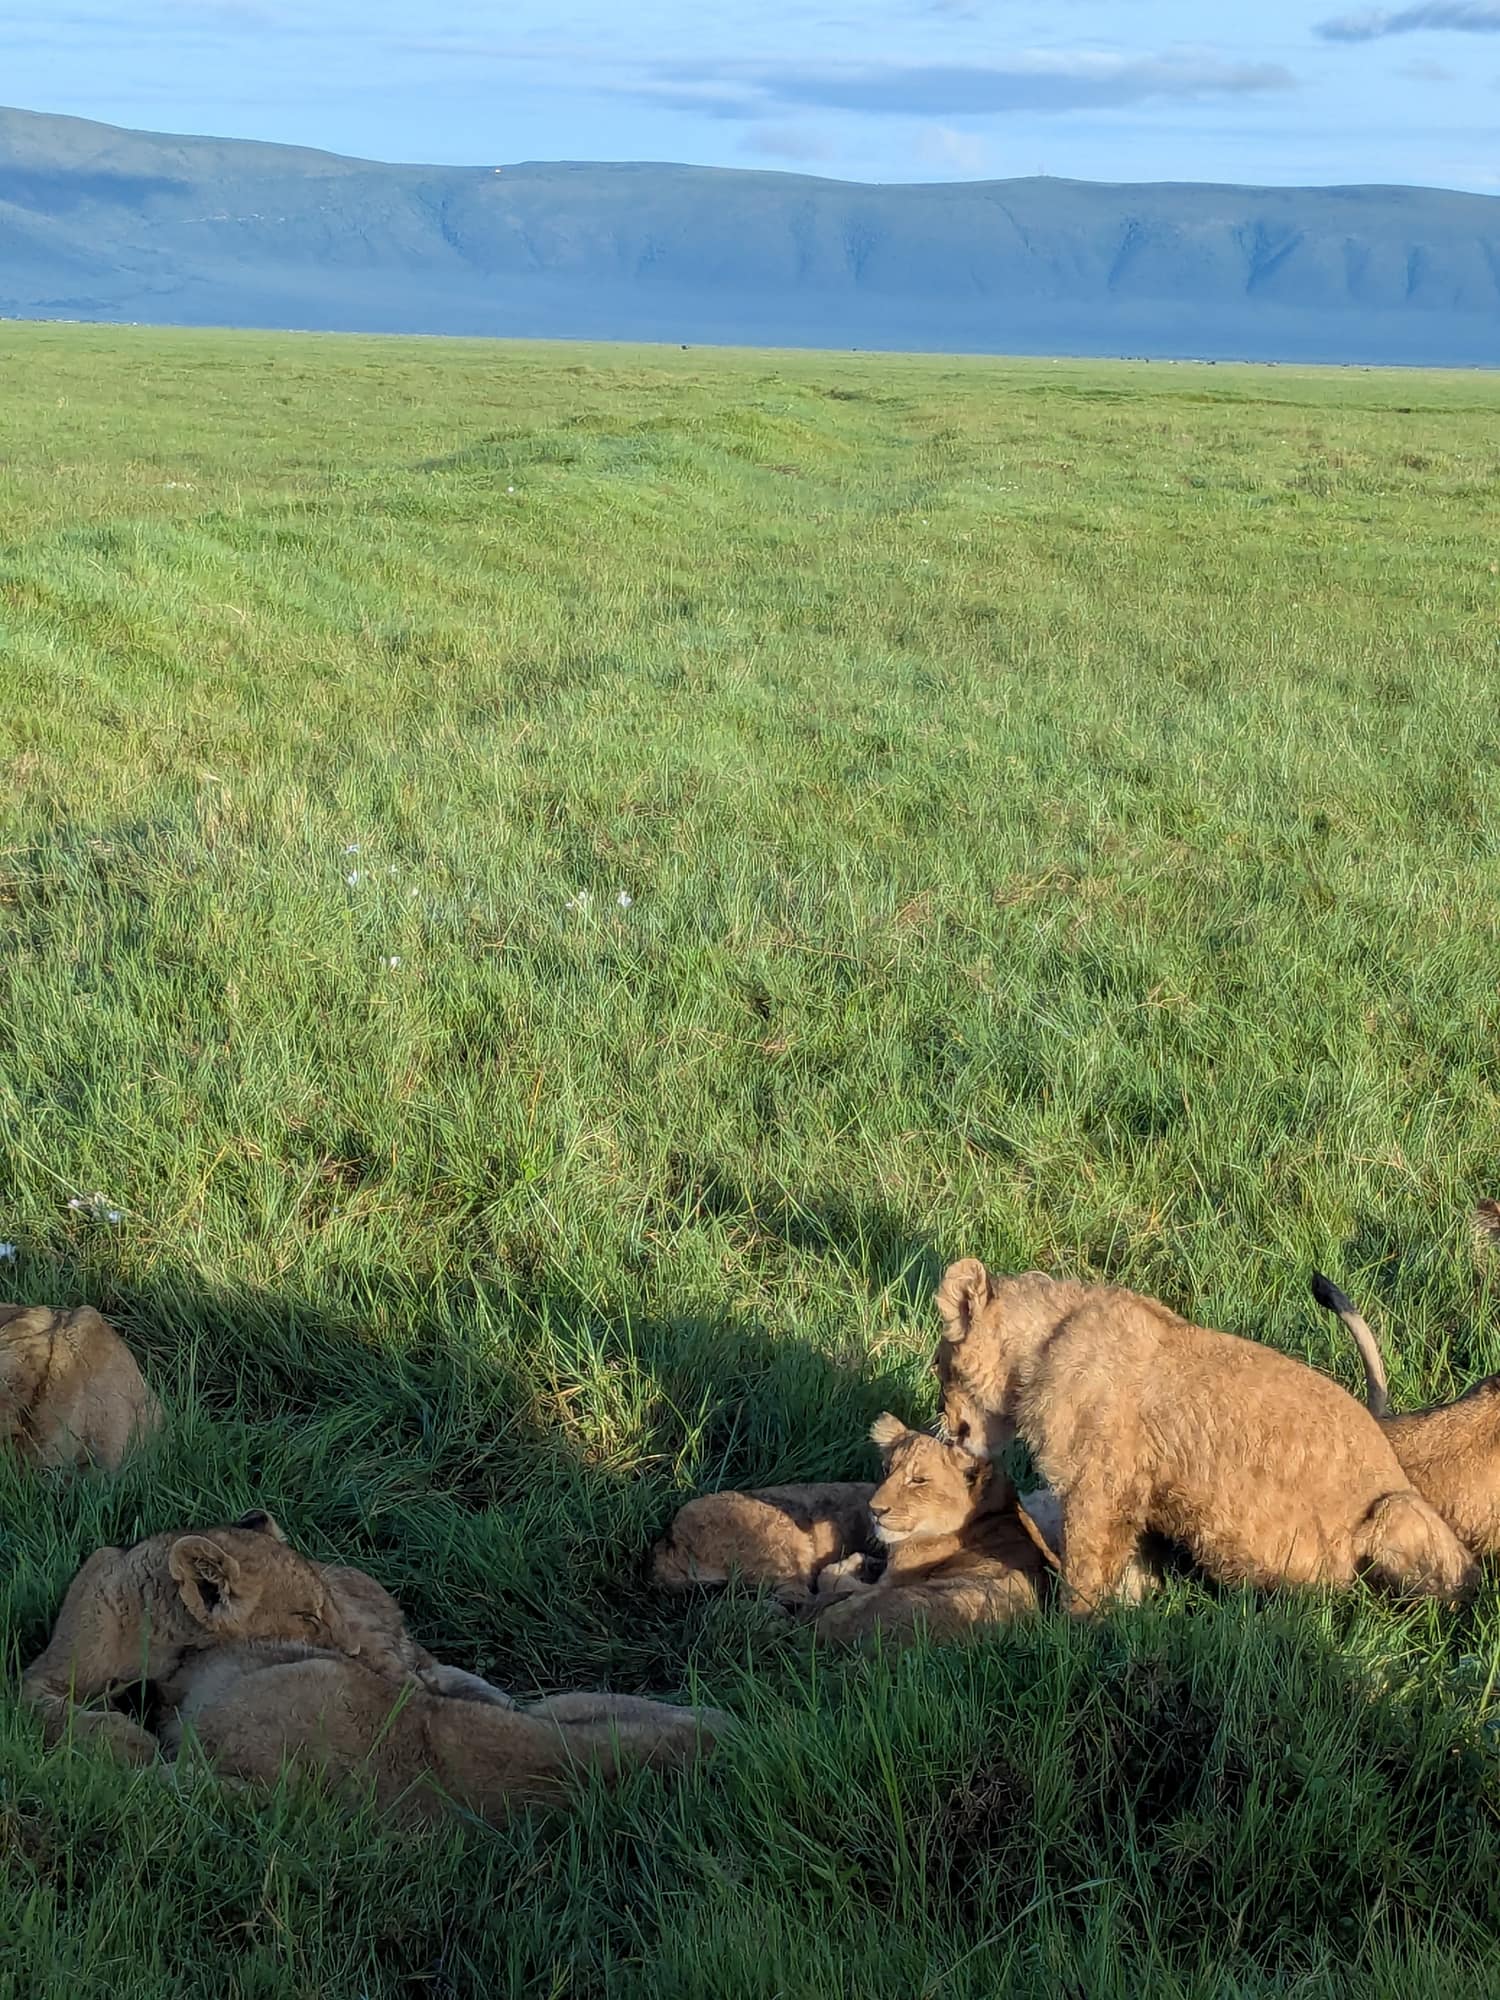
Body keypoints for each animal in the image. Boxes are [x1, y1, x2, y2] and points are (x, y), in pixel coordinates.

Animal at [935, 1260, 1477, 1613]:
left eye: (940, 1364)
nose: (944, 1424)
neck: (1045, 1341)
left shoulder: (1098, 1489)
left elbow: (1084, 1575)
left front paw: (1074, 1637)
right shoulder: (1135, 1495)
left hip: (1393, 1511)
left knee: (1457, 1582)